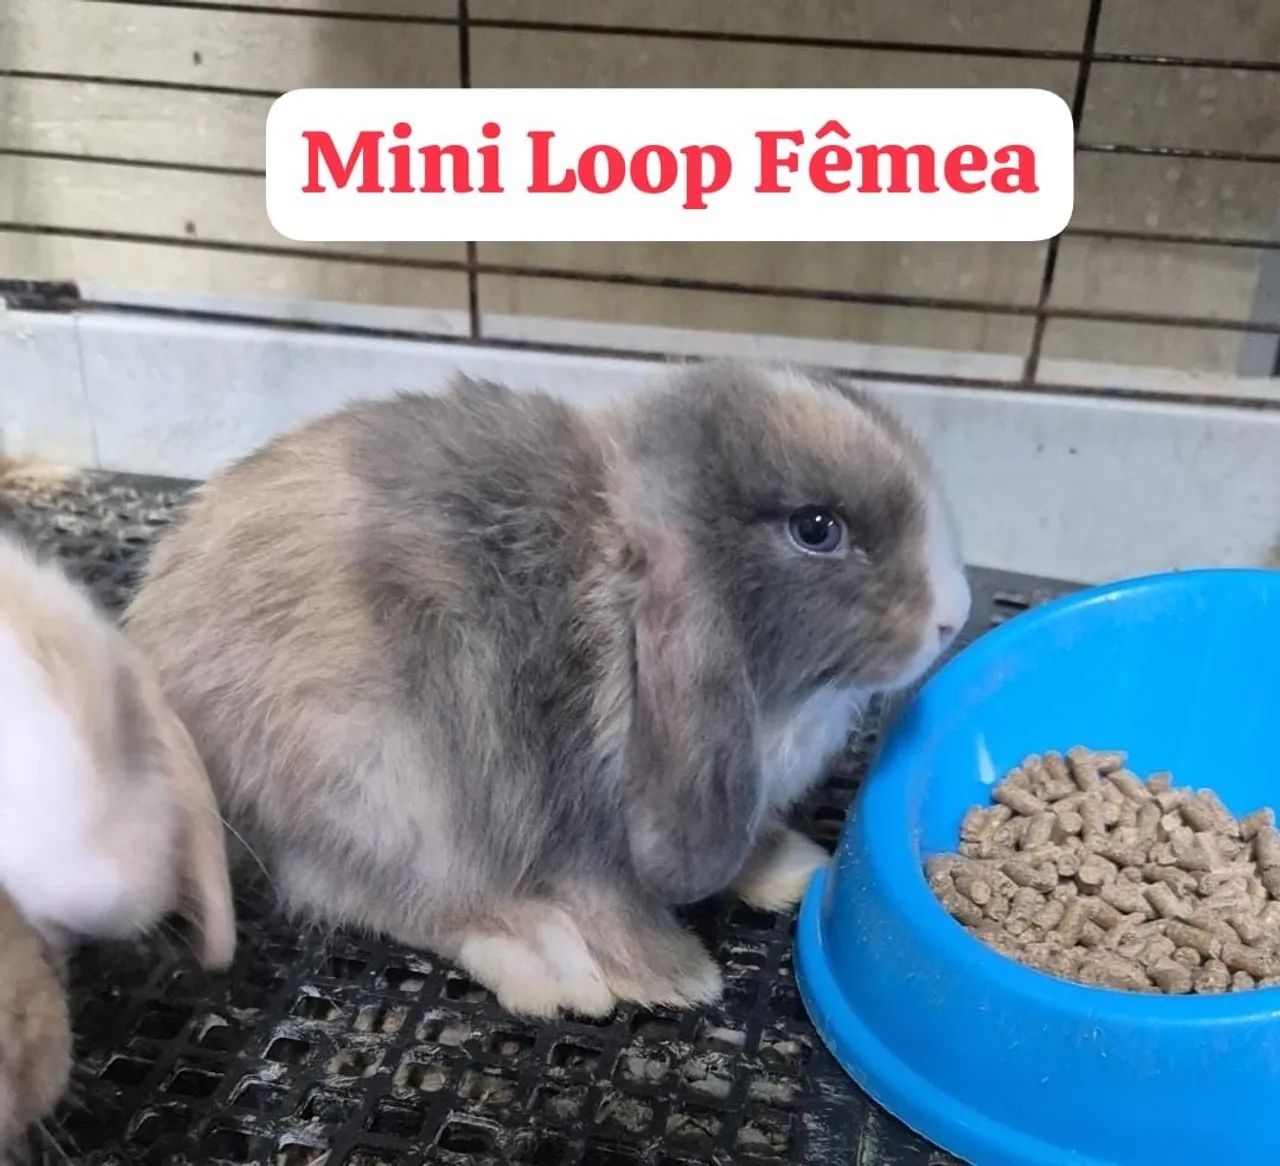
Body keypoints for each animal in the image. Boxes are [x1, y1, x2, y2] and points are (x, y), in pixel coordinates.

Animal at [126, 360, 970, 1018]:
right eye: (817, 529)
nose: (955, 615)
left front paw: (785, 866)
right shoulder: (581, 822)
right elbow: (610, 896)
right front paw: (675, 976)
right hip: (383, 785)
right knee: (371, 895)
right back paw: (542, 957)